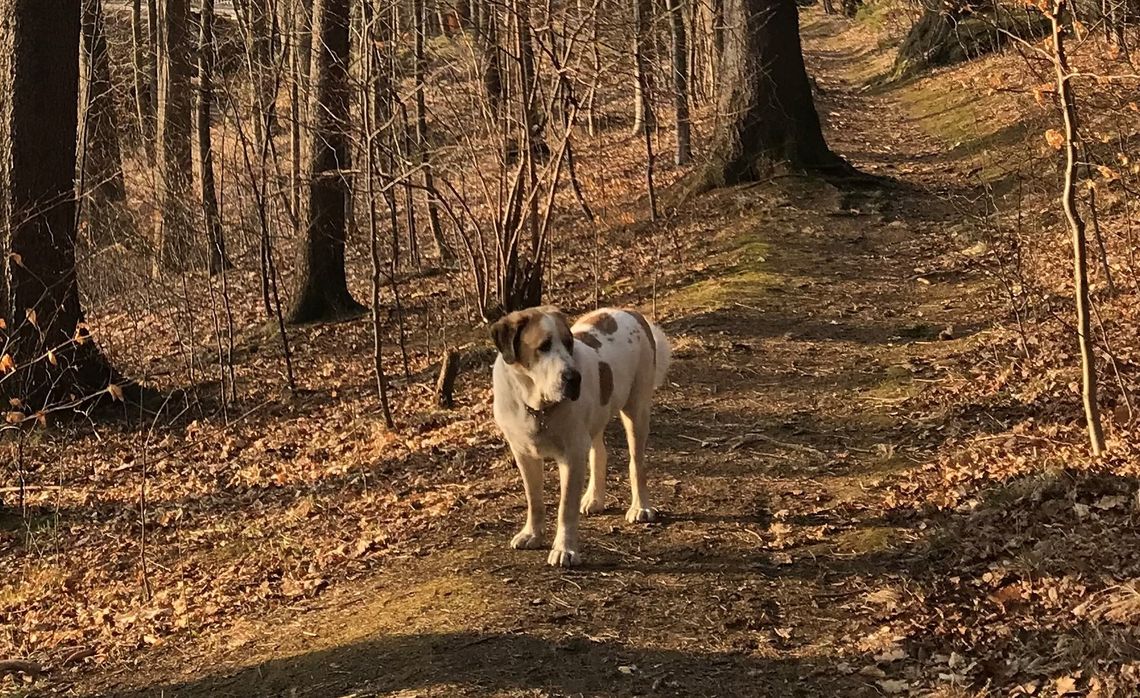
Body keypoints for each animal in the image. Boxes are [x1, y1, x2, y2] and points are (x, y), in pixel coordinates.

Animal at [487, 305, 665, 567]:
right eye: (544, 346)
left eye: (569, 343)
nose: (573, 378)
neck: (537, 407)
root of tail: (628, 311)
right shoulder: (524, 454)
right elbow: (533, 498)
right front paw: (532, 534)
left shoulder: (571, 456)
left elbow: (565, 508)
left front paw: (565, 550)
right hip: (595, 420)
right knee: (599, 452)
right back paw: (594, 499)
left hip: (637, 410)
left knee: (637, 464)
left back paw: (640, 507)